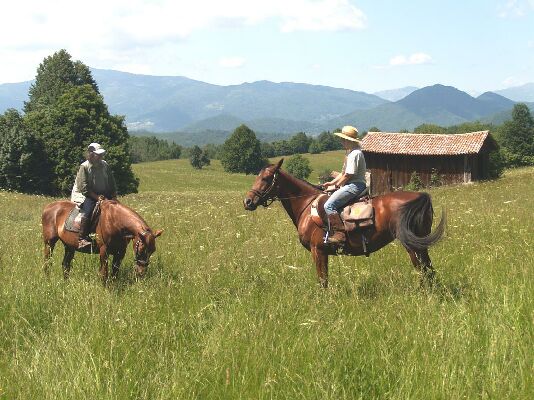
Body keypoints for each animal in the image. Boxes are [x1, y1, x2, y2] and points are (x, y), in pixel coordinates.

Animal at [245, 159, 446, 288]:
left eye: (265, 178)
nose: (247, 201)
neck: (306, 205)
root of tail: (419, 196)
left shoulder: (318, 251)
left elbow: (323, 280)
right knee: (428, 268)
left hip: (412, 245)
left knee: (423, 269)